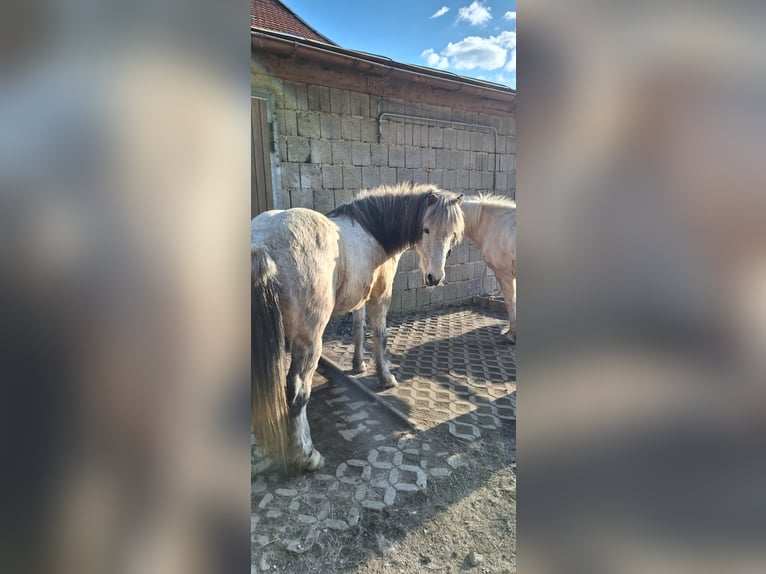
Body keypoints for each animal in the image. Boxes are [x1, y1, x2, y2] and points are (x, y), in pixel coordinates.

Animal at [252, 183, 465, 471]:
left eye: (452, 234)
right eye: (426, 229)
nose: (434, 278)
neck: (373, 230)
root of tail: (262, 245)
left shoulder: (359, 299)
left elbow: (358, 330)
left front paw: (358, 365)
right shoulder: (381, 297)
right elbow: (380, 336)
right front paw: (385, 378)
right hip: (308, 341)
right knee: (297, 394)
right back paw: (308, 457)